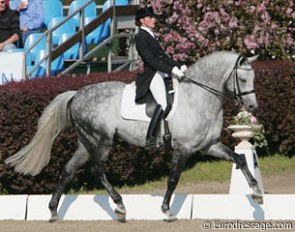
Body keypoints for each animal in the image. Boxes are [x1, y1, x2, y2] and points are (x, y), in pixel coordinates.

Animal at [5, 50, 262, 221]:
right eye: (242, 79)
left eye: (253, 79)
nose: (252, 107)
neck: (199, 97)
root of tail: (76, 94)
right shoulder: (183, 148)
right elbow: (173, 179)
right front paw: (167, 210)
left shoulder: (209, 145)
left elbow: (239, 159)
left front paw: (257, 193)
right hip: (101, 141)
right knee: (97, 170)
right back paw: (119, 206)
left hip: (85, 142)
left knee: (68, 169)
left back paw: (53, 211)